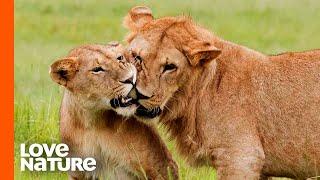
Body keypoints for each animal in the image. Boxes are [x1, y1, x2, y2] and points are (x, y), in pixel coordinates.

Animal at [51, 42, 179, 180]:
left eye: (119, 58)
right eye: (97, 69)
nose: (130, 79)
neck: (93, 121)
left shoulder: (162, 167)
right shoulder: (77, 173)